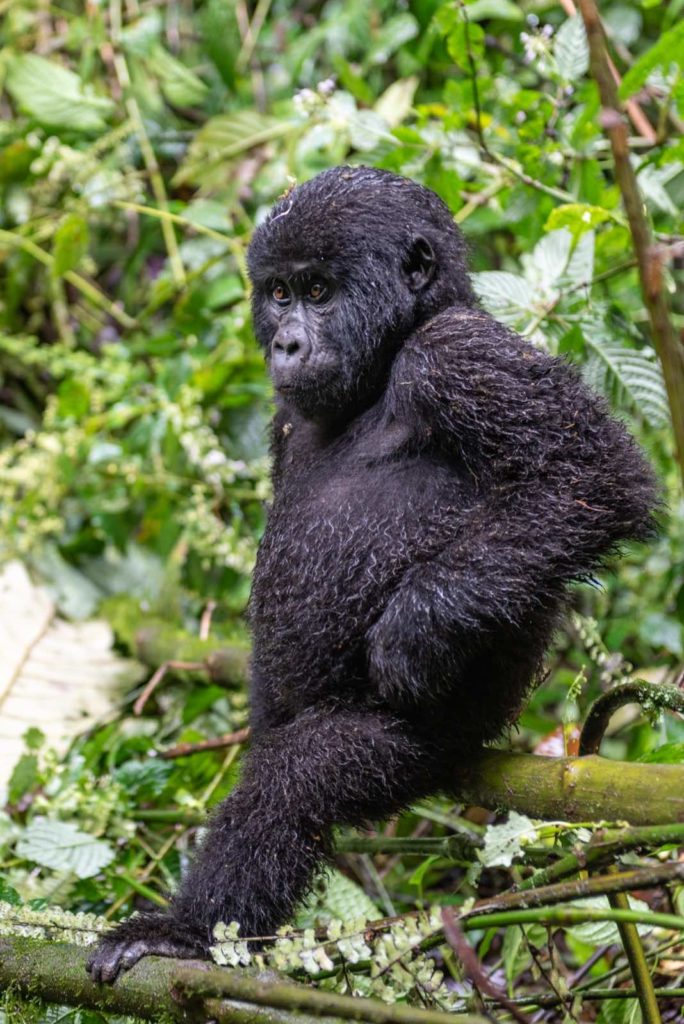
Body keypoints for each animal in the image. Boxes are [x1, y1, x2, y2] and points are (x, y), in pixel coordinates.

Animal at [87, 166, 657, 982]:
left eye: (321, 292)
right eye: (280, 293)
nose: (287, 342)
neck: (384, 364)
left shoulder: (459, 353)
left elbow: (593, 477)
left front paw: (417, 627)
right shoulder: (285, 419)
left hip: (426, 746)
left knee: (300, 778)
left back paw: (190, 931)